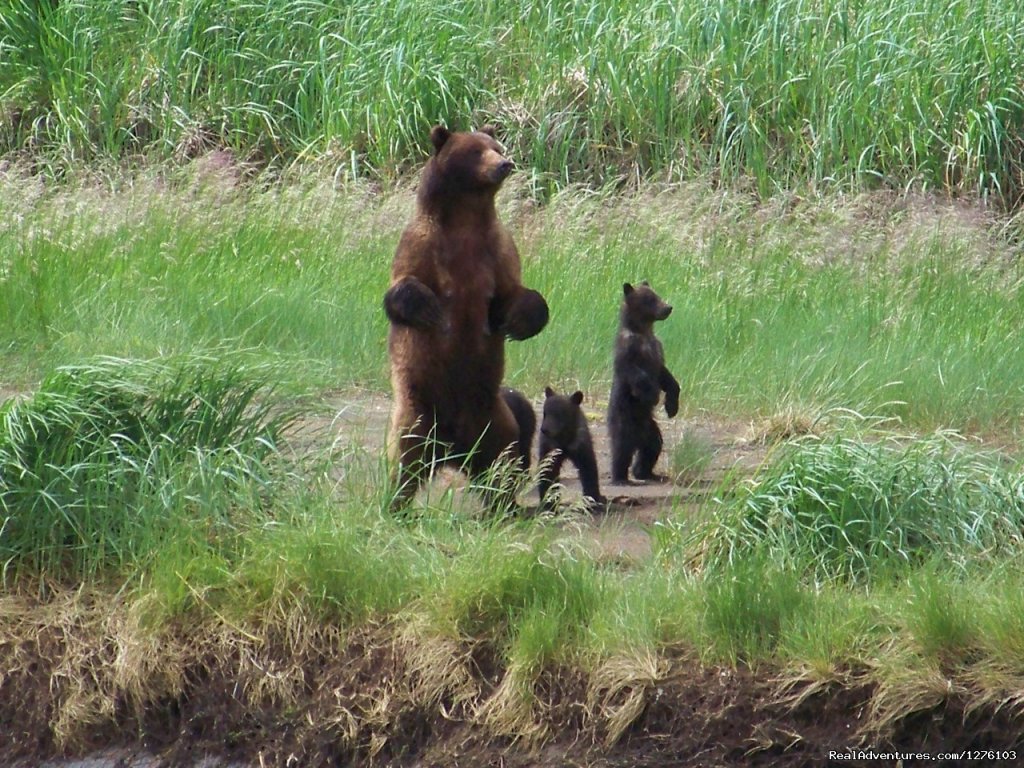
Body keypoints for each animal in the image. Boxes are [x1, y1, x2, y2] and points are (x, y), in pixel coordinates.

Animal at [385, 124, 548, 512]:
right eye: (475, 151)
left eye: (496, 146)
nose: (504, 163)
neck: (466, 220)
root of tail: (452, 453)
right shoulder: (421, 243)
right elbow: (402, 289)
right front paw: (428, 307)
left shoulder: (498, 248)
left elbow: (513, 294)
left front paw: (519, 321)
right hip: (418, 411)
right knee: (405, 455)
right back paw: (396, 504)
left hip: (491, 418)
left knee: (504, 459)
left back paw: (505, 506)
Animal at [606, 282, 679, 483]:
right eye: (650, 299)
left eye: (657, 295)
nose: (668, 307)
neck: (644, 331)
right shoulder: (629, 350)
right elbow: (636, 375)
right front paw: (652, 396)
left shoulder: (657, 348)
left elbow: (666, 376)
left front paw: (671, 406)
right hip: (624, 419)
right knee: (622, 447)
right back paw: (620, 477)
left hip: (650, 429)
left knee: (652, 447)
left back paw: (647, 473)